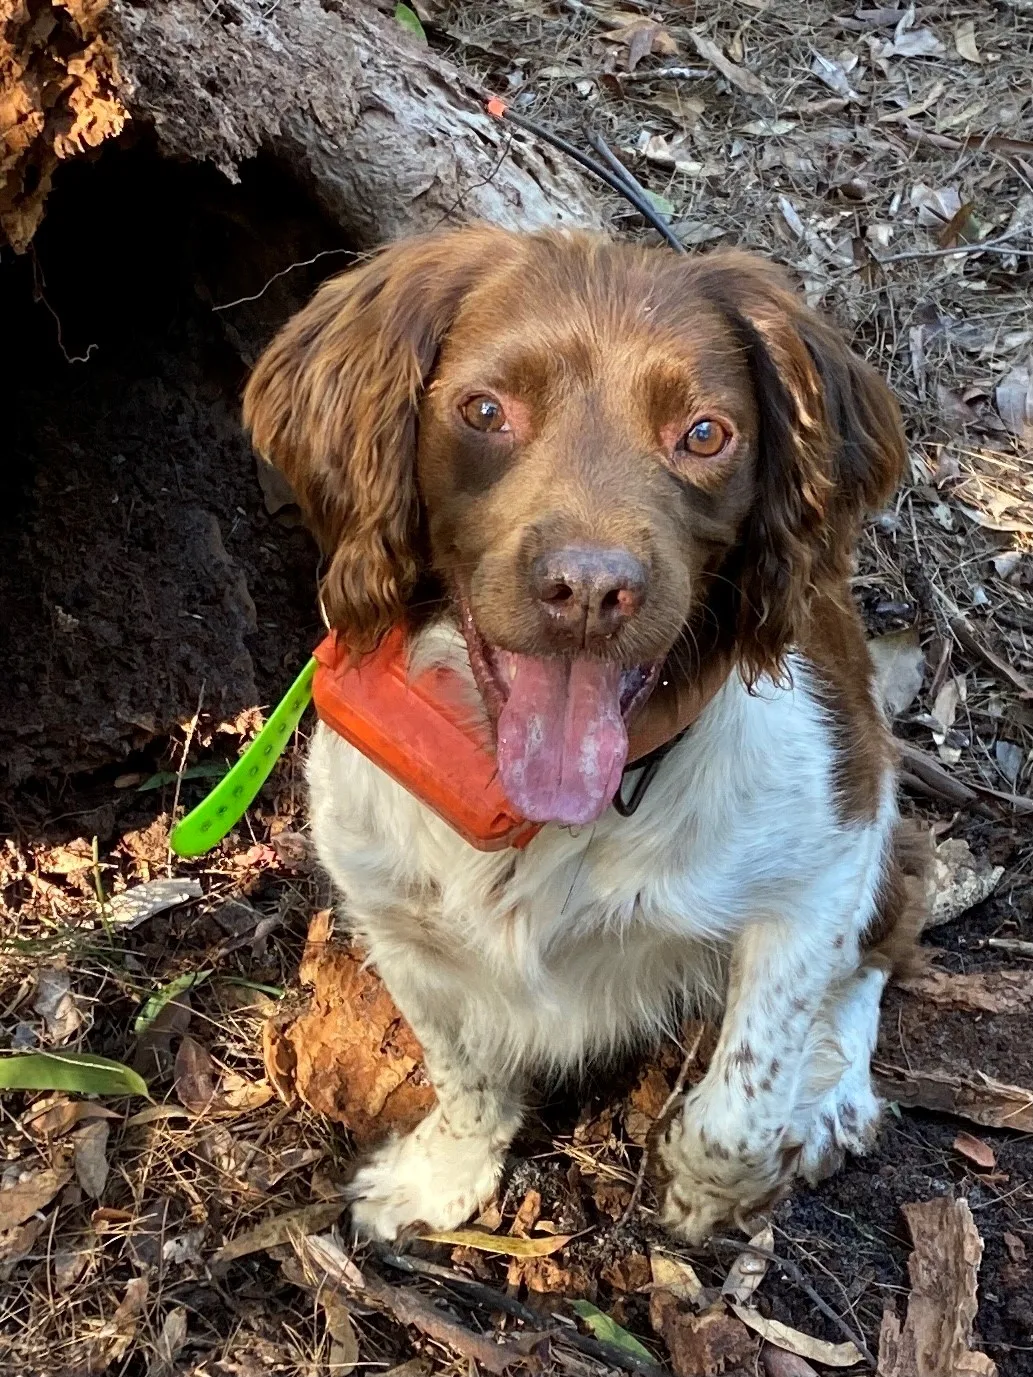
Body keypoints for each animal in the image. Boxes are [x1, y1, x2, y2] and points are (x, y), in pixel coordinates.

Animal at [246, 223, 920, 1239]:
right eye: (485, 409)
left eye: (704, 433)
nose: (592, 590)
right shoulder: (388, 907)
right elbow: (462, 1069)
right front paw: (443, 1177)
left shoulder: (824, 862)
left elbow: (738, 1109)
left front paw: (708, 1189)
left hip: (878, 816)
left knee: (882, 943)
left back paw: (832, 1094)